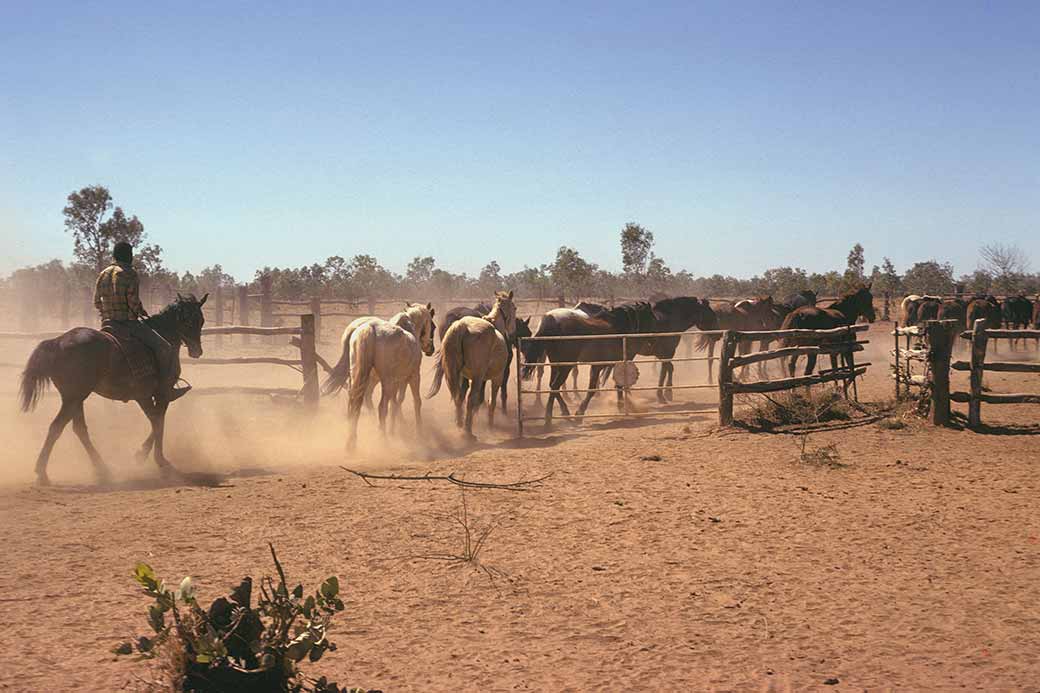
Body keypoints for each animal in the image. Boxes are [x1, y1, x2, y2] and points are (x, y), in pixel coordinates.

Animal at [18, 293, 206, 482]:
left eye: (201, 320)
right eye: (188, 320)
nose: (197, 351)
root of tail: (57, 342)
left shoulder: (145, 396)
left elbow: (156, 421)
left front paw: (143, 454)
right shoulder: (159, 393)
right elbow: (158, 421)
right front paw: (157, 460)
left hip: (75, 398)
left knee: (79, 429)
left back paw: (102, 469)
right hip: (73, 397)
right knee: (57, 427)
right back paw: (42, 472)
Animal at [320, 303, 434, 447]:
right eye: (432, 325)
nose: (431, 348)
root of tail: (370, 329)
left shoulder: (397, 381)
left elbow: (395, 403)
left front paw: (394, 429)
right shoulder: (412, 376)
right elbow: (415, 402)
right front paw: (418, 433)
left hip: (357, 377)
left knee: (355, 404)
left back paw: (352, 441)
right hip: (385, 381)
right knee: (381, 407)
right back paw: (383, 439)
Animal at [426, 289, 515, 437]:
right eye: (515, 308)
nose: (513, 332)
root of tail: (461, 327)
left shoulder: (468, 377)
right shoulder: (497, 377)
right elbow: (491, 401)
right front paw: (490, 425)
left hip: (453, 374)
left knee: (457, 396)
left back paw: (460, 423)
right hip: (478, 377)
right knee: (470, 399)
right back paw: (468, 431)